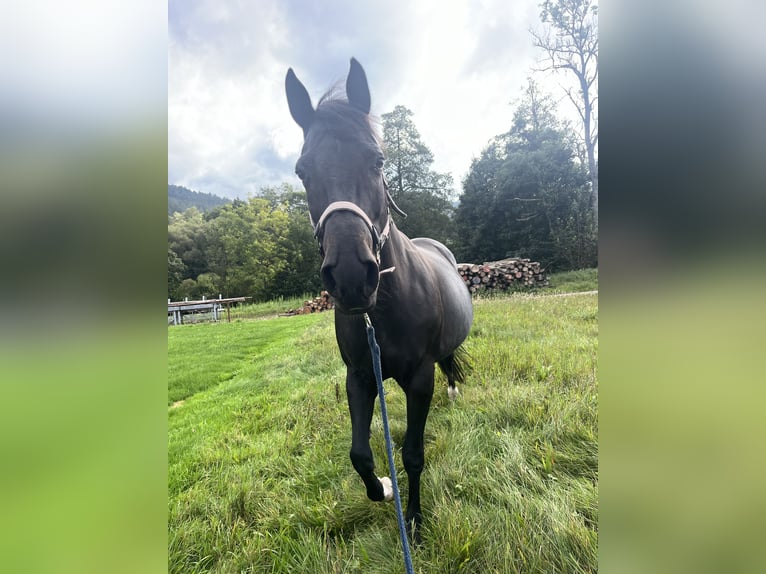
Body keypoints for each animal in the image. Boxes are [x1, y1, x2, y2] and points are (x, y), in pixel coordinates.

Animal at [284, 56, 472, 544]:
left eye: (377, 159)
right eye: (302, 170)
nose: (351, 276)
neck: (383, 307)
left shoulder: (419, 378)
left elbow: (412, 454)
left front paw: (416, 521)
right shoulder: (360, 377)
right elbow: (360, 454)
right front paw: (385, 489)